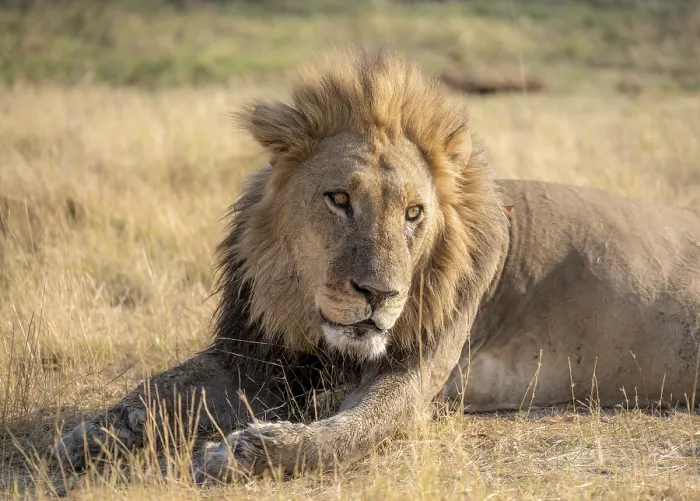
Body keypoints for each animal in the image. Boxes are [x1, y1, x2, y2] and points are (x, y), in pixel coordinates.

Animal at [54, 49, 700, 483]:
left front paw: (242, 451)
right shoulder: (259, 356)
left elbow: (347, 434)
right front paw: (85, 438)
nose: (379, 295)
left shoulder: (414, 374)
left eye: (414, 213)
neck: (308, 321)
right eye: (340, 199)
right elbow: (153, 390)